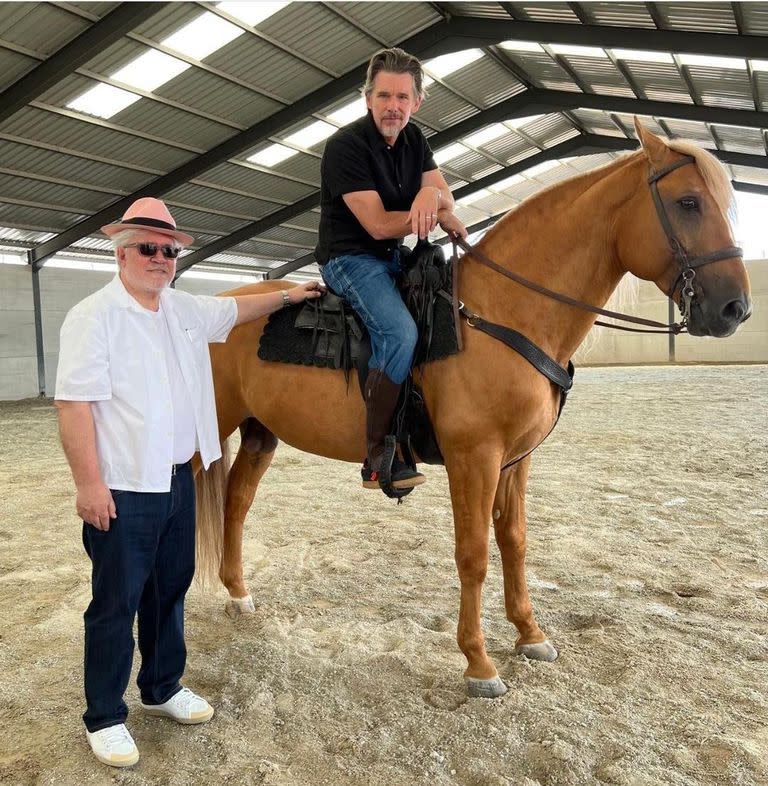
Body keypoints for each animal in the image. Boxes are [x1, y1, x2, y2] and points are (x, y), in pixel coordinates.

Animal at [196, 119, 752, 696]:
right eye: (689, 202)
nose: (735, 308)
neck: (500, 313)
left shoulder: (515, 459)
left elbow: (514, 540)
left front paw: (530, 635)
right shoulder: (474, 457)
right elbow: (474, 553)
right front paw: (479, 663)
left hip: (259, 432)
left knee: (235, 503)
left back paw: (238, 594)